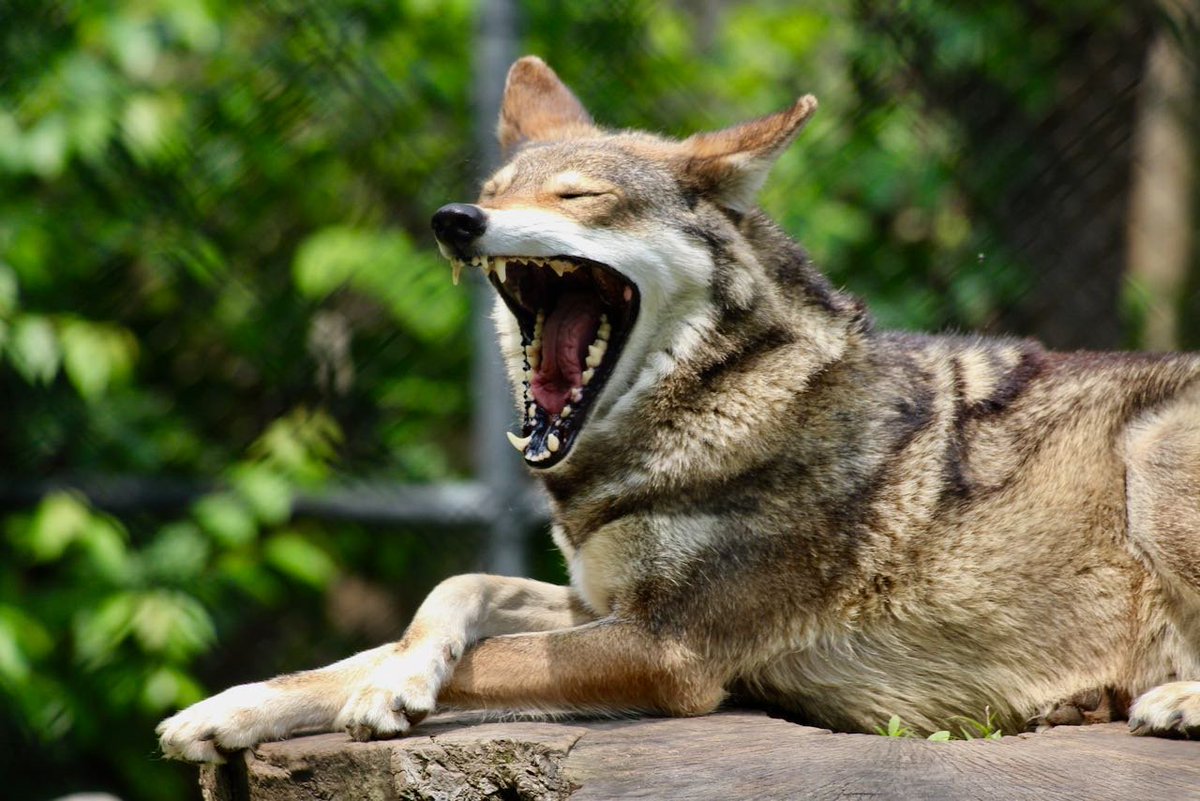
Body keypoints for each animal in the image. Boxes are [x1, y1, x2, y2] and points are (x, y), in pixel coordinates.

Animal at [158, 56, 1200, 762]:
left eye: (579, 196)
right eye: (494, 191)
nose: (455, 221)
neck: (714, 404)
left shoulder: (669, 651)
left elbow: (486, 652)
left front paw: (380, 695)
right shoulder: (599, 599)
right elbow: (443, 600)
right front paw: (256, 703)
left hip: (1151, 450)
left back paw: (1171, 702)